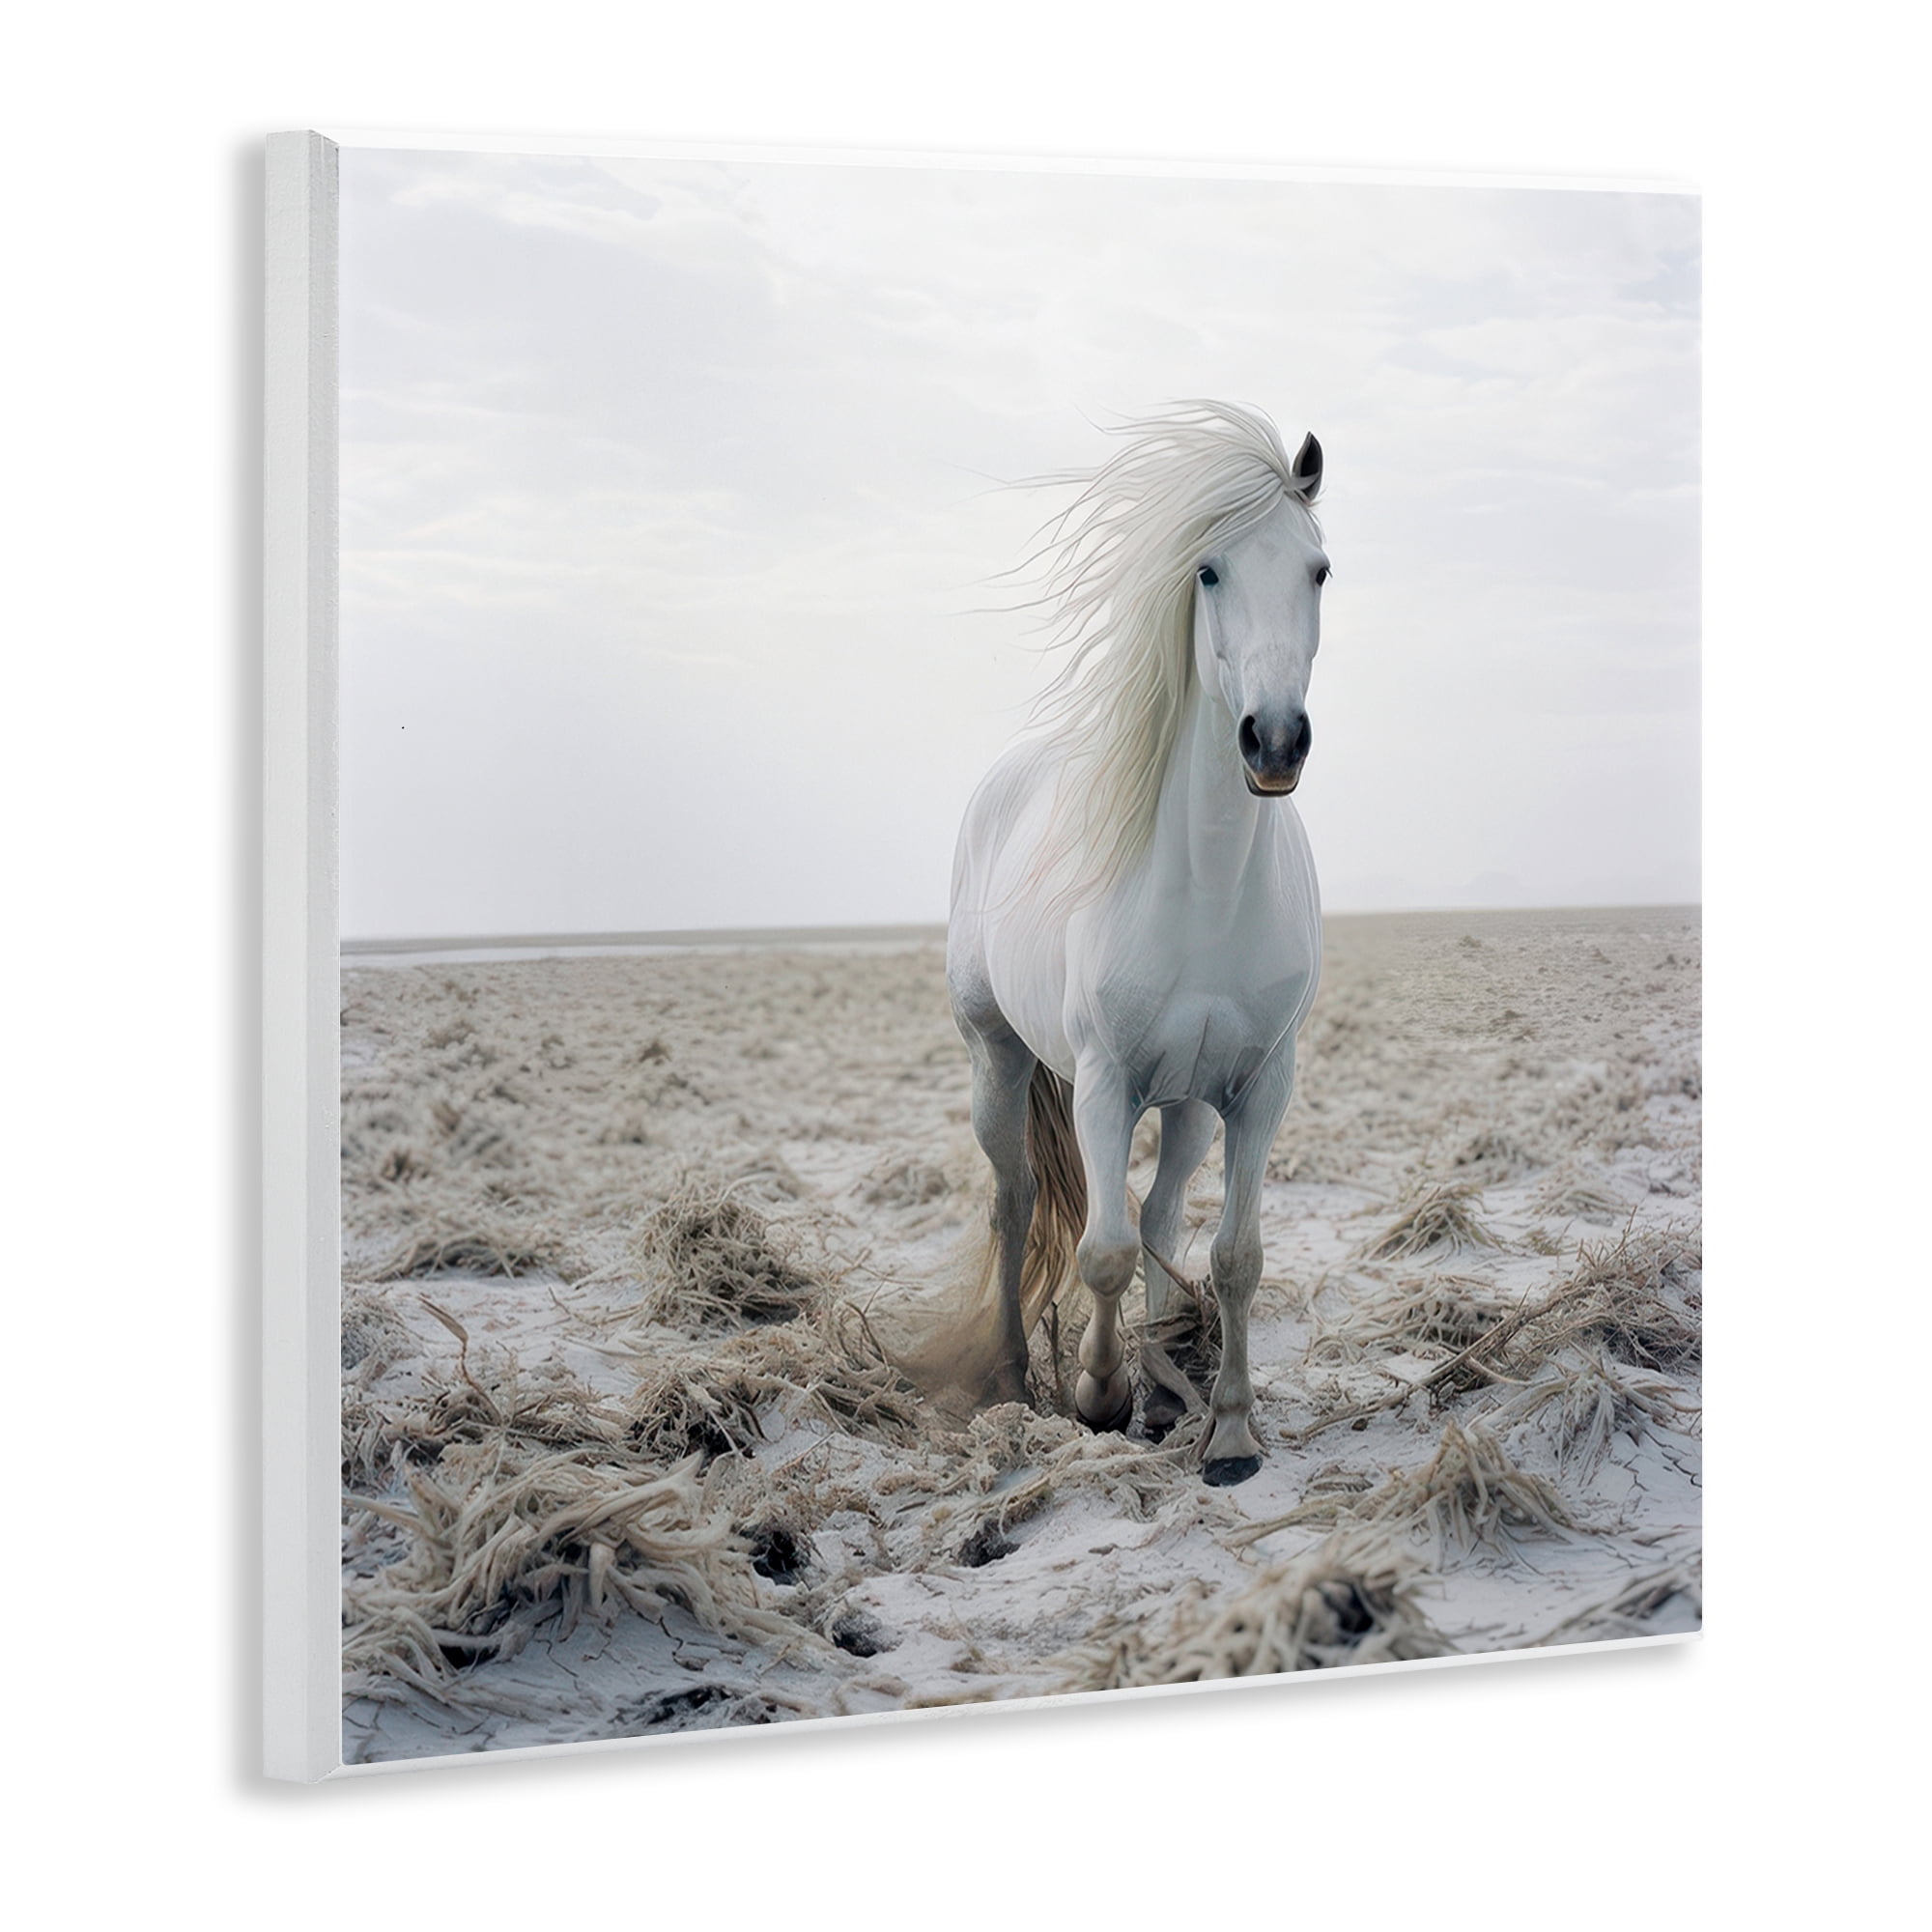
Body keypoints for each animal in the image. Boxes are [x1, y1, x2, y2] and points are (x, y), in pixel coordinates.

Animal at [946, 401, 1328, 1487]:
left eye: (1318, 569)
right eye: (1207, 570)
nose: (1274, 741)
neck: (1207, 887)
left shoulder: (1258, 1085)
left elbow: (1233, 1255)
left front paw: (1227, 1428)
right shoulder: (1107, 1081)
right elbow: (1102, 1249)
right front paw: (1096, 1390)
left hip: (1189, 1101)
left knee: (1157, 1215)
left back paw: (1162, 1390)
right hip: (1000, 1060)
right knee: (1019, 1204)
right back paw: (1013, 1372)